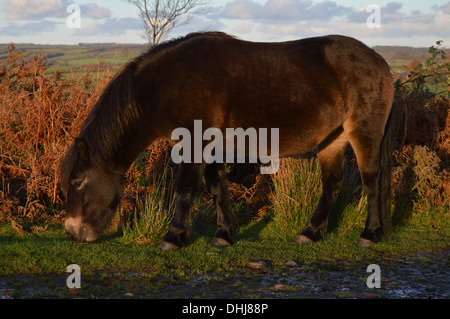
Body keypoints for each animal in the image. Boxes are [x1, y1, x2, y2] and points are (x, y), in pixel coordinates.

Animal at [60, 31, 394, 250]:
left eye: (77, 181)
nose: (73, 232)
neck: (170, 82)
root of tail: (379, 60)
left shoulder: (194, 143)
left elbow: (187, 189)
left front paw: (173, 237)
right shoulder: (210, 144)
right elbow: (216, 186)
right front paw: (224, 234)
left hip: (363, 132)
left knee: (371, 180)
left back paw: (369, 234)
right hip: (332, 139)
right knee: (332, 183)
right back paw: (311, 232)